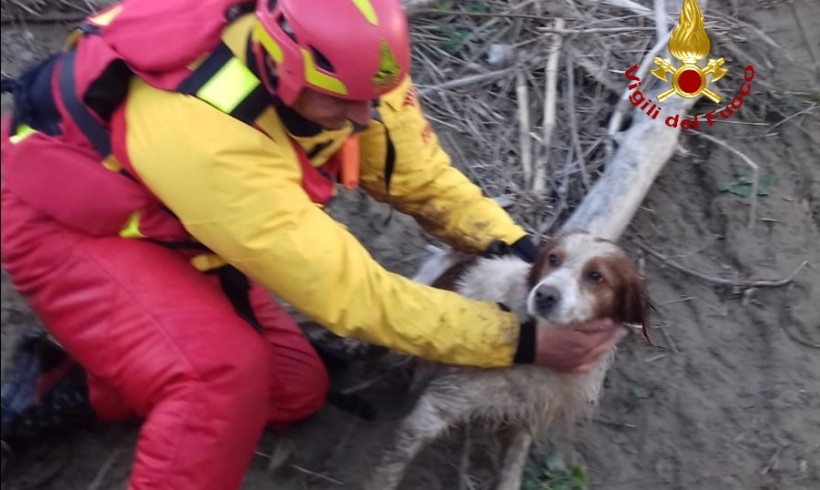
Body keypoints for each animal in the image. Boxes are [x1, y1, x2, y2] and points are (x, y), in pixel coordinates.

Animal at [368, 233, 652, 490]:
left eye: (596, 276)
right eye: (553, 259)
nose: (544, 295)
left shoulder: (525, 417)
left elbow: (510, 476)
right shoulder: (439, 405)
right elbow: (393, 464)